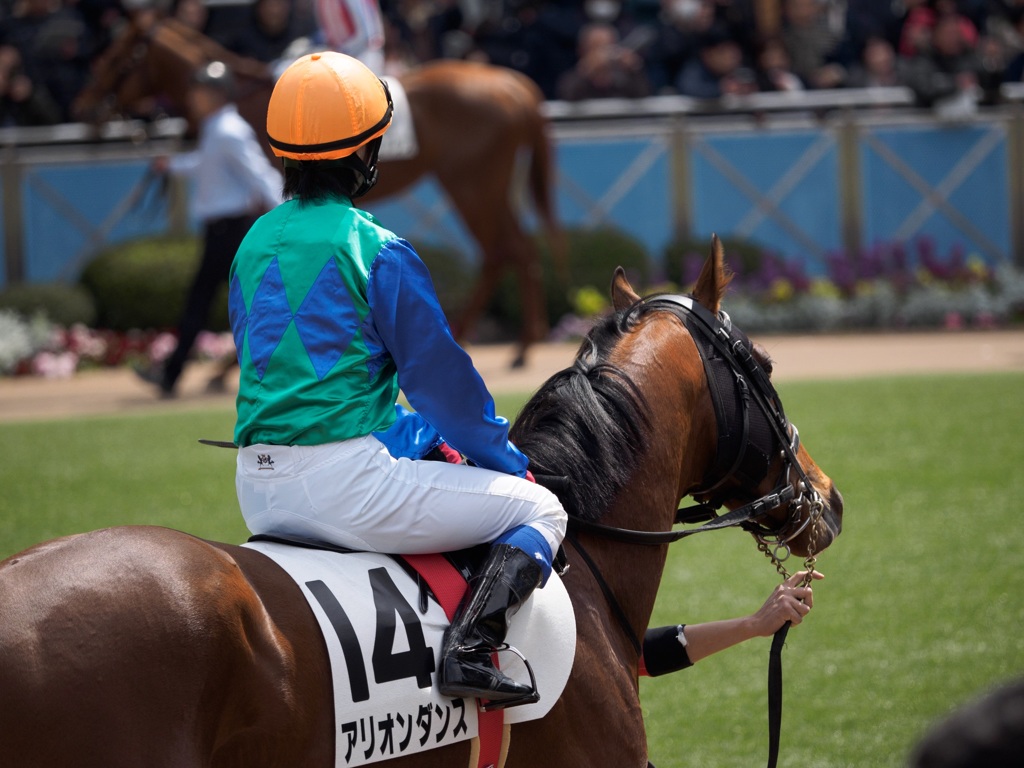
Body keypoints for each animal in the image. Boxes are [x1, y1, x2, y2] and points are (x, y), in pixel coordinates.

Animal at [72, 15, 565, 370]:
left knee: (505, 250)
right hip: (481, 185)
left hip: (472, 184)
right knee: (511, 250)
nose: (87, 108)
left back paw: (502, 344)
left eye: (117, 58)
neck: (240, 103)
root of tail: (511, 84)